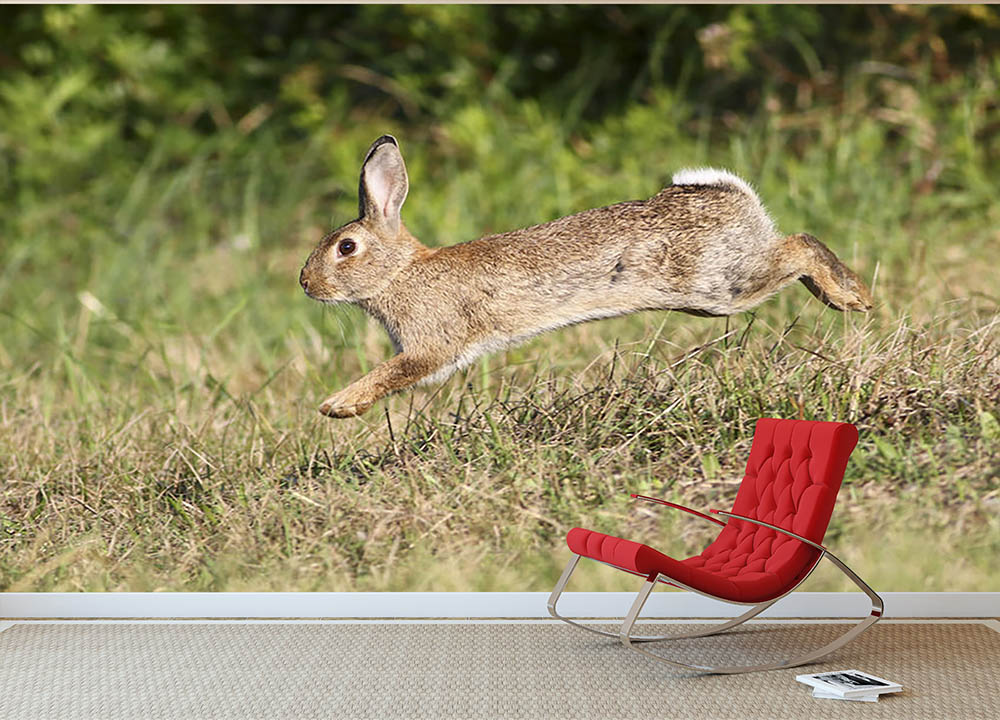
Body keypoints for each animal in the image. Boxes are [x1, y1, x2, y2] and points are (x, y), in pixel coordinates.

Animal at [299, 135, 873, 418]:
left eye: (346, 248)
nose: (306, 284)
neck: (399, 272)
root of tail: (731, 195)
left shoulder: (431, 345)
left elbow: (395, 372)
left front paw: (337, 406)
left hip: (718, 286)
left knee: (799, 247)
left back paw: (852, 297)